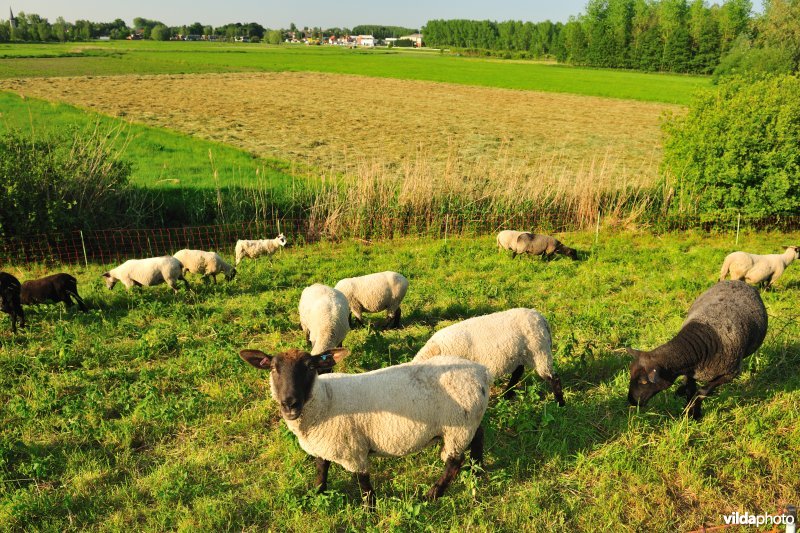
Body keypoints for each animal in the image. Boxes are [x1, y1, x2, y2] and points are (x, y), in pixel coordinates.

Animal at [238, 344, 488, 508]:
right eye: (273, 368)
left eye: (310, 367)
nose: (289, 404)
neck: (325, 401)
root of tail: (481, 371)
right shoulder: (324, 446)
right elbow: (321, 470)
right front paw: (316, 494)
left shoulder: (354, 450)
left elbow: (363, 483)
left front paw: (370, 510)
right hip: (470, 421)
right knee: (479, 437)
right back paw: (478, 471)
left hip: (458, 428)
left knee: (454, 462)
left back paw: (432, 495)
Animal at [412, 308, 564, 404]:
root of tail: (542, 318)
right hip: (522, 353)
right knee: (518, 372)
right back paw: (507, 394)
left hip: (539, 351)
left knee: (553, 378)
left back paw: (559, 403)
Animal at [624, 280, 768, 422]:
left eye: (644, 381)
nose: (632, 401)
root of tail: (739, 281)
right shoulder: (690, 371)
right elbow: (690, 390)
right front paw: (688, 414)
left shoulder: (731, 373)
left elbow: (702, 392)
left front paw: (694, 414)